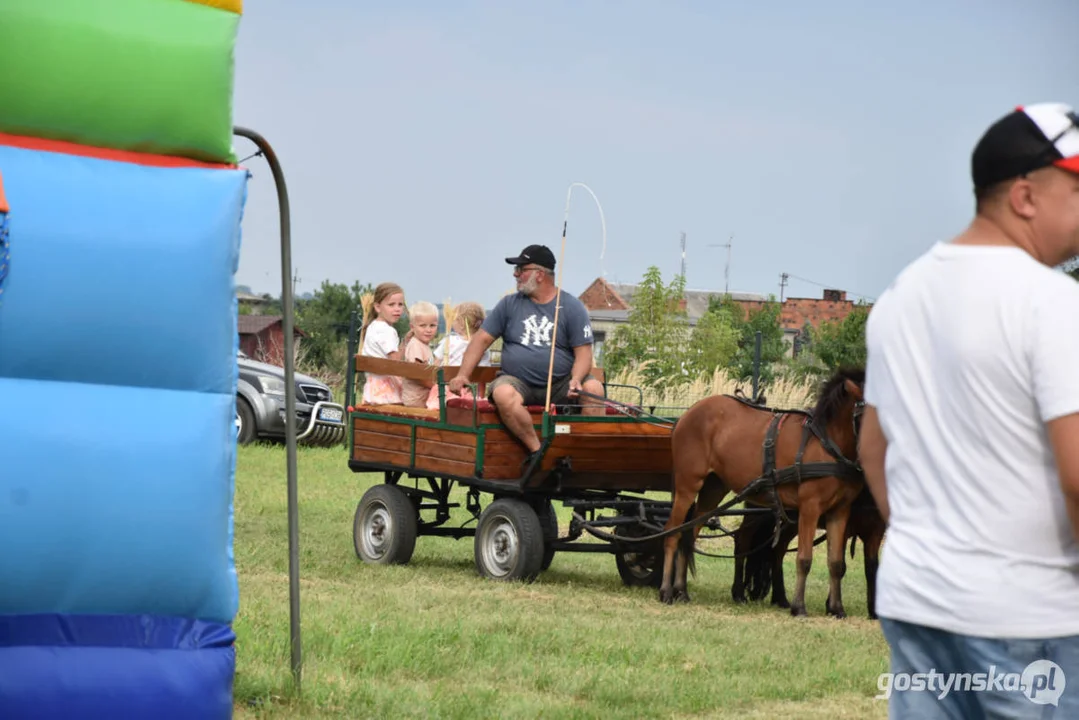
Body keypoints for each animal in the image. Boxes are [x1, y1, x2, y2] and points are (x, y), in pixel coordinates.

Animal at [656, 369, 867, 617]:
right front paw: (798, 606)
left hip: (713, 488)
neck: (827, 443)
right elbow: (804, 559)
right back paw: (666, 591)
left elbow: (835, 563)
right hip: (687, 485)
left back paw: (681, 590)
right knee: (673, 533)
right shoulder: (810, 508)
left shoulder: (840, 511)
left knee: (690, 533)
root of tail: (686, 415)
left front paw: (836, 608)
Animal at [725, 481, 884, 617]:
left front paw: (873, 611)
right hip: (759, 514)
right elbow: (841, 566)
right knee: (742, 541)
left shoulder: (875, 532)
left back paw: (780, 598)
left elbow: (872, 568)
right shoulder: (845, 531)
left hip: (791, 523)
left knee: (778, 550)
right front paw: (830, 605)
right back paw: (739, 594)